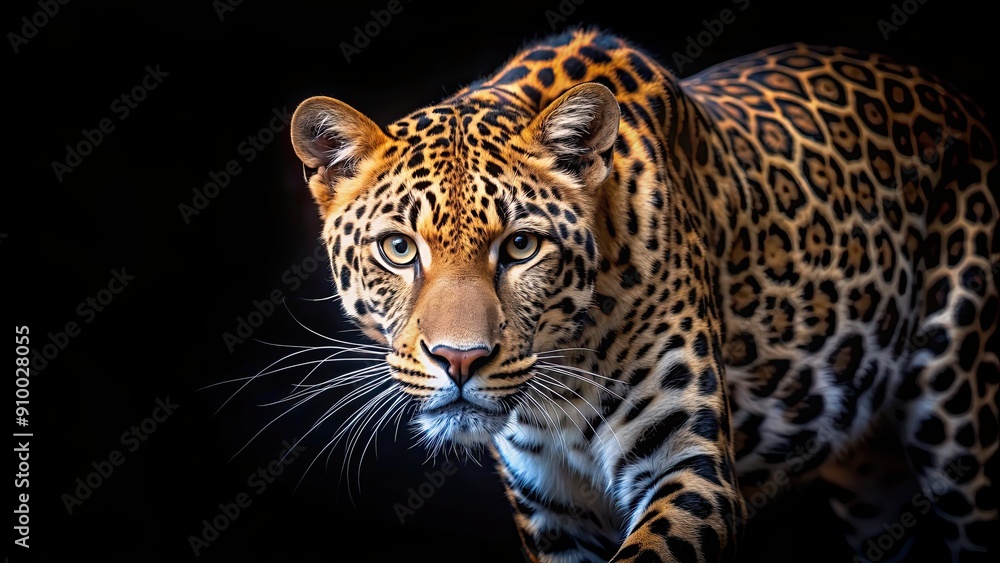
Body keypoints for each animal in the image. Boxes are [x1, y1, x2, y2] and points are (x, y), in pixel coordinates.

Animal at [287, 27, 998, 562]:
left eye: (520, 247)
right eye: (399, 249)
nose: (459, 360)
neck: (563, 388)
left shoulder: (690, 468)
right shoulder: (553, 513)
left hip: (960, 417)